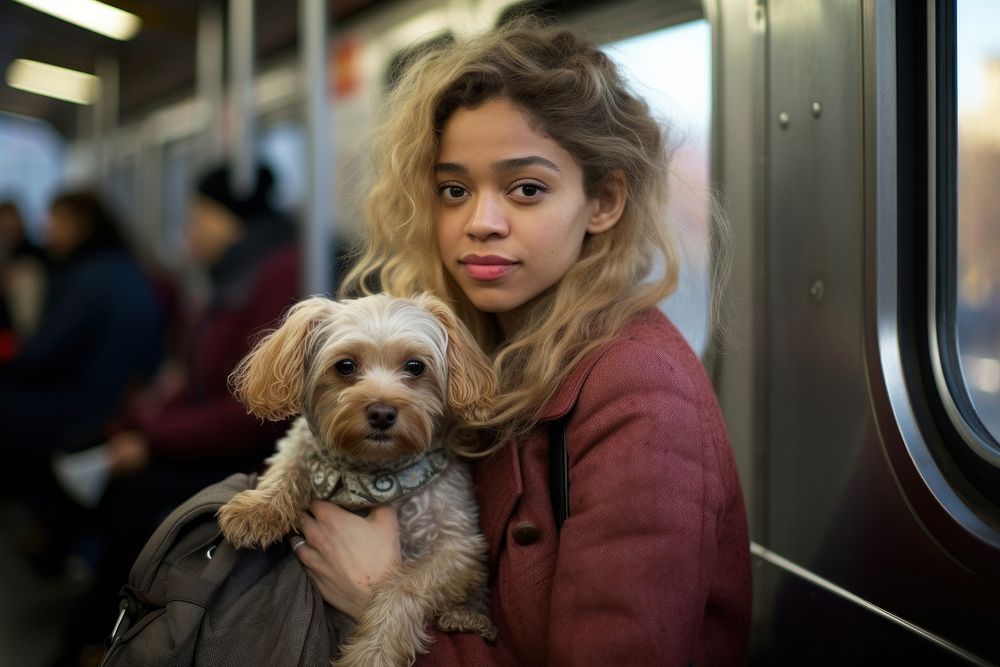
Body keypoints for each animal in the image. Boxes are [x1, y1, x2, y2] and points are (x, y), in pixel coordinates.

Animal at [220, 294, 500, 664]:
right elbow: (288, 463)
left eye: (415, 366)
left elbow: (404, 588)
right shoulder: (298, 444)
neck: (373, 471)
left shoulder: (458, 547)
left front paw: (372, 652)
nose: (382, 412)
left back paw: (465, 618)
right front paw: (257, 509)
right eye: (345, 366)